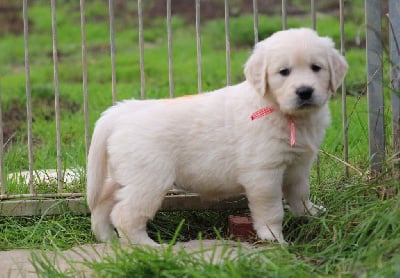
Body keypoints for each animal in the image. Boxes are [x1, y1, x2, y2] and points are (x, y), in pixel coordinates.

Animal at [86, 28, 346, 245]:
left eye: (316, 68)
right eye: (284, 72)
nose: (305, 91)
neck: (283, 112)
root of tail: (122, 111)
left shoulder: (298, 166)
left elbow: (301, 194)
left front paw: (313, 215)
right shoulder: (263, 172)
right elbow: (272, 210)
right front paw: (274, 238)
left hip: (122, 175)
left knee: (102, 204)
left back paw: (107, 238)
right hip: (149, 179)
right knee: (125, 214)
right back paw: (147, 246)